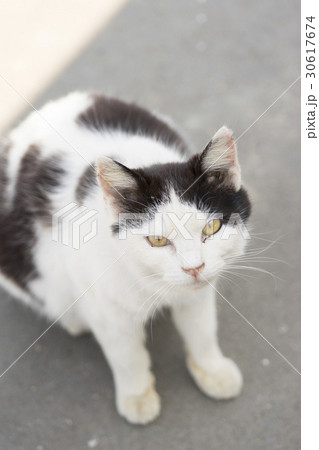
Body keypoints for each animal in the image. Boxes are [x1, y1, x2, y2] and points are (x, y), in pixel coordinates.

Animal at [0, 92, 252, 426]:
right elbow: (127, 355)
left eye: (212, 227)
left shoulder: (198, 292)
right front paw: (137, 396)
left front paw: (212, 370)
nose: (193, 268)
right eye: (157, 241)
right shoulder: (107, 309)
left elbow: (202, 329)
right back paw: (74, 320)